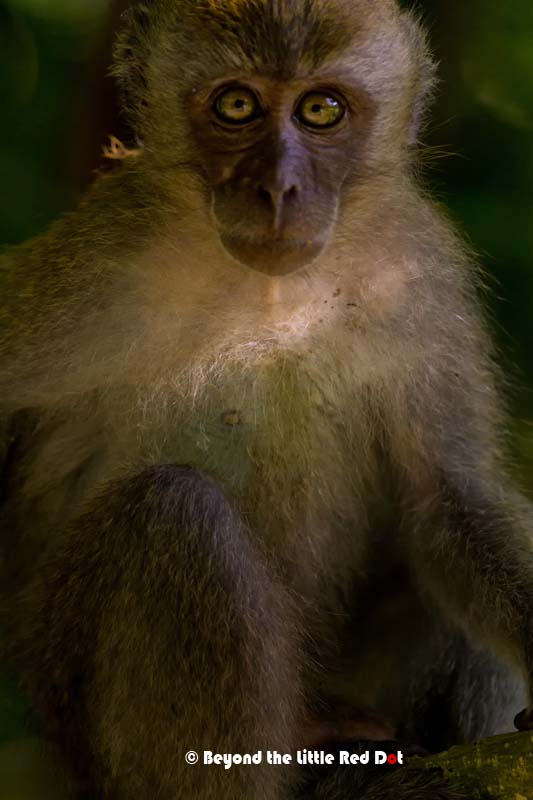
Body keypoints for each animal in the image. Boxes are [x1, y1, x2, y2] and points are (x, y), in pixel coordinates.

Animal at [0, 0, 532, 798]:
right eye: (237, 106)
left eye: (320, 110)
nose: (279, 190)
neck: (272, 294)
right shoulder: (88, 265)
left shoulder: (420, 271)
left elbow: (448, 496)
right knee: (175, 512)